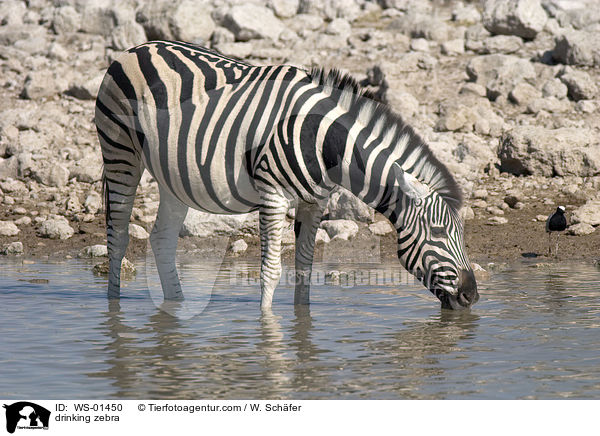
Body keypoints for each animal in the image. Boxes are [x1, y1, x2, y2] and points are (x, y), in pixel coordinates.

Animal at [95, 41, 478, 312]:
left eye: (461, 232)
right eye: (440, 232)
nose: (472, 296)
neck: (324, 142)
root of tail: (137, 47)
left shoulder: (314, 202)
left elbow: (305, 267)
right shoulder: (272, 196)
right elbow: (271, 270)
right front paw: (270, 332)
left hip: (173, 176)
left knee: (161, 239)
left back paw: (176, 306)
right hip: (120, 152)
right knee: (118, 237)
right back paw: (113, 310)